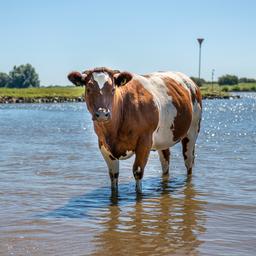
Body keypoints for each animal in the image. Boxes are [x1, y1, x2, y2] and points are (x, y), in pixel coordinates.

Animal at [67, 67, 202, 193]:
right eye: (88, 89)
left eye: (113, 89)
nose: (102, 114)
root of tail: (191, 82)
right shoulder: (103, 145)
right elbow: (113, 175)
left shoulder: (145, 141)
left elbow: (138, 171)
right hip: (164, 138)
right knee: (165, 161)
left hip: (193, 130)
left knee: (189, 161)